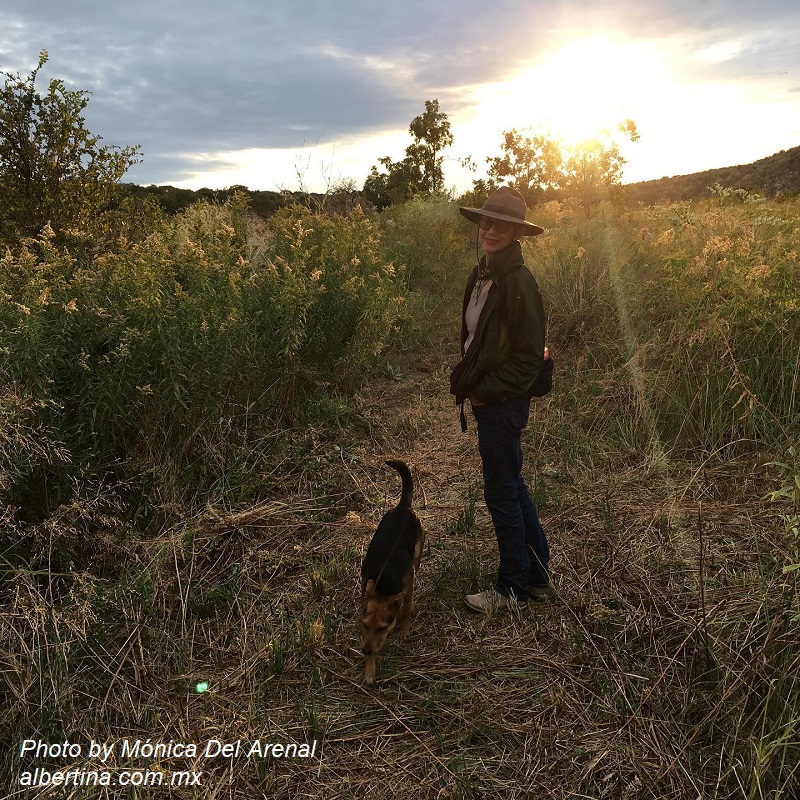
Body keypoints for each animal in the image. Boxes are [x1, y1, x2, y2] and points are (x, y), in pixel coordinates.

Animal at [360, 460, 424, 684]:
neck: (384, 584)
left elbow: (404, 610)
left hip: (417, 553)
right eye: (365, 625)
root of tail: (402, 507)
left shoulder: (407, 584)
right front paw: (369, 669)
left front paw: (404, 629)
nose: (365, 651)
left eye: (382, 628)